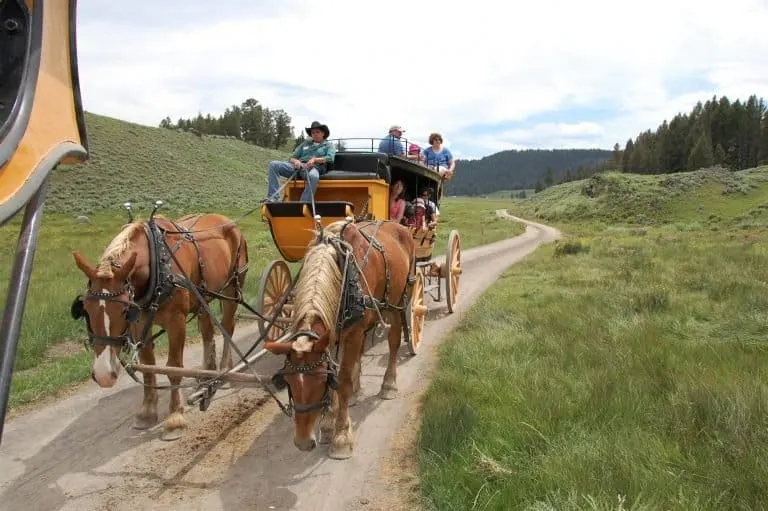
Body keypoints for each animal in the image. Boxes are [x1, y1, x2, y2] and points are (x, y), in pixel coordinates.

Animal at [70, 212, 249, 440]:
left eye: (124, 310)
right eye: (85, 310)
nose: (104, 375)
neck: (157, 264)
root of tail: (224, 219)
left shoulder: (176, 321)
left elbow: (173, 368)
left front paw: (175, 417)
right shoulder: (139, 323)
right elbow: (148, 366)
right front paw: (147, 412)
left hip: (230, 289)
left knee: (227, 327)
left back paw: (225, 371)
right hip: (202, 296)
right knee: (207, 331)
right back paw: (207, 375)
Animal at [266, 218, 420, 458]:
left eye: (320, 380)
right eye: (288, 381)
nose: (303, 442)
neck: (341, 273)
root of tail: (397, 225)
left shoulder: (353, 332)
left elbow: (343, 381)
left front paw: (341, 435)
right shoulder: (332, 334)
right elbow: (338, 375)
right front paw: (329, 425)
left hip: (398, 300)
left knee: (394, 340)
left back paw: (388, 385)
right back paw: (358, 391)